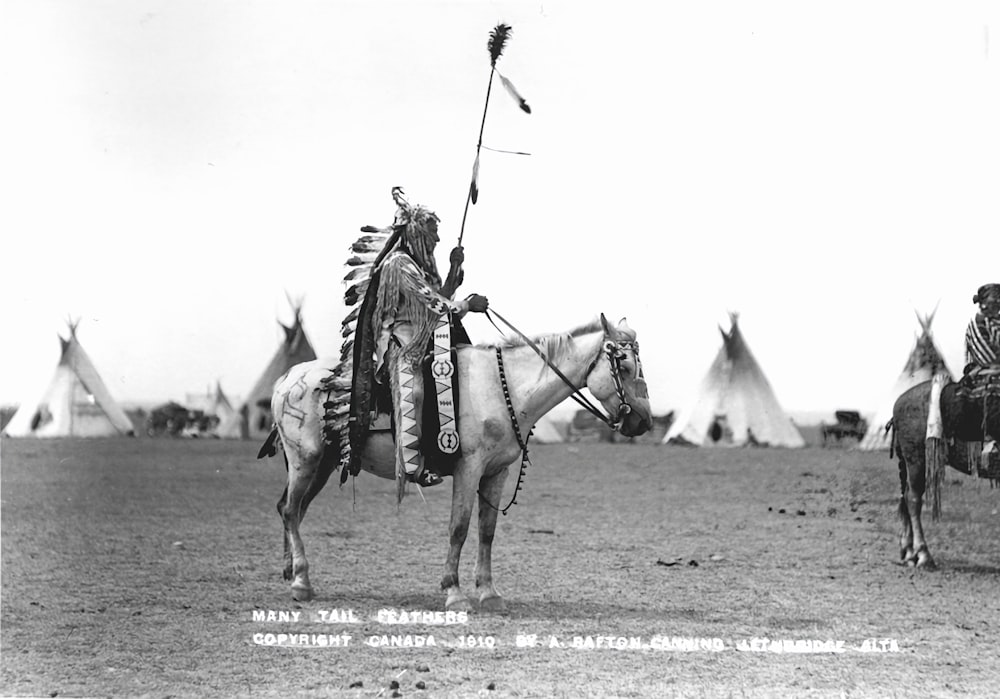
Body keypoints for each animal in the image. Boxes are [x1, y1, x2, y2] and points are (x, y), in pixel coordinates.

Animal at [260, 314, 648, 608]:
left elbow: (486, 532)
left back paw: (291, 573)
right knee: (291, 510)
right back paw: (302, 582)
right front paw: (454, 591)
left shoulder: (496, 472)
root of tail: (289, 378)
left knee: (290, 509)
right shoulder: (468, 469)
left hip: (322, 465)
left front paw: (489, 593)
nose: (644, 422)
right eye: (625, 365)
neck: (503, 388)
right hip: (305, 459)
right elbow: (458, 527)